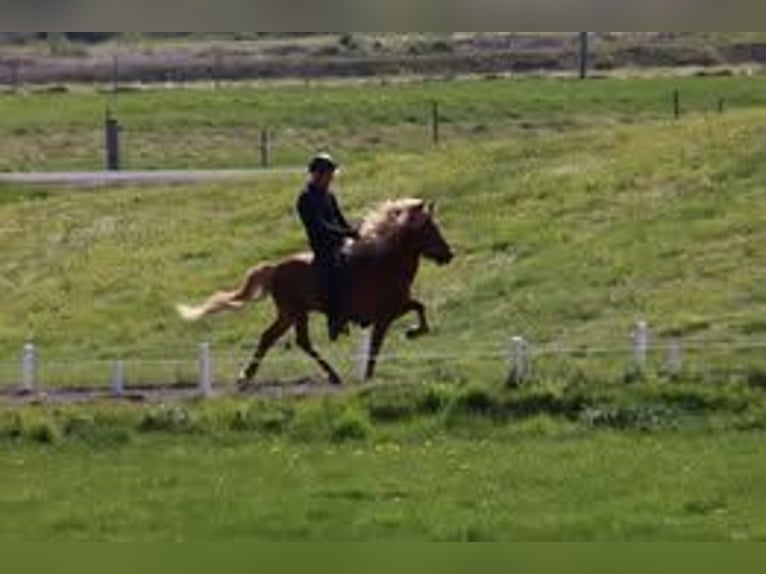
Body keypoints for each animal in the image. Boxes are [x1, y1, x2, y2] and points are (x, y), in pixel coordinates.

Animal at [176, 198, 454, 385]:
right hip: (295, 311)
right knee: (294, 340)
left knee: (274, 338)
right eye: (430, 230)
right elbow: (378, 344)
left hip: (291, 314)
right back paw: (328, 374)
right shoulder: (385, 316)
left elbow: (418, 307)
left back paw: (249, 376)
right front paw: (373, 372)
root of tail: (275, 267)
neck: (385, 265)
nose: (449, 255)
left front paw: (413, 332)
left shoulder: (395, 308)